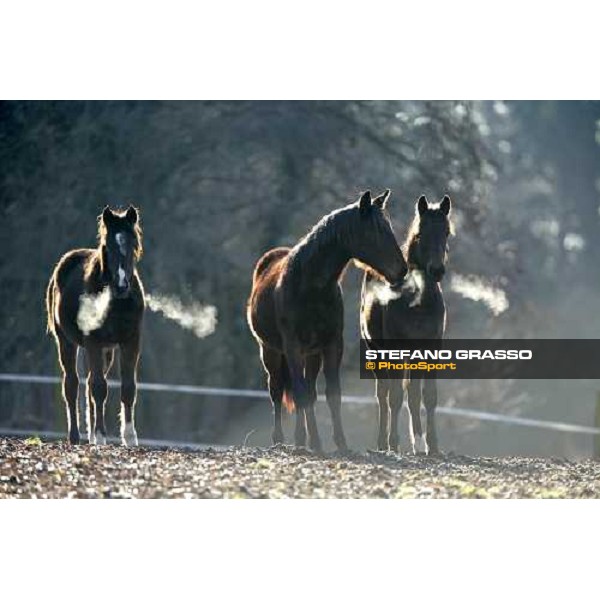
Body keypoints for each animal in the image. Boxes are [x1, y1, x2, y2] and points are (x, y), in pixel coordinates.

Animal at [45, 206, 145, 446]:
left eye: (133, 244)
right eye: (108, 246)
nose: (121, 286)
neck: (117, 303)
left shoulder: (131, 341)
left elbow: (128, 388)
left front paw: (130, 437)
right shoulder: (93, 341)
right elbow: (99, 388)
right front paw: (101, 436)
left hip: (106, 350)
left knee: (89, 382)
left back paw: (89, 436)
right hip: (67, 342)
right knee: (72, 385)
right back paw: (76, 437)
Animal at [247, 190, 408, 452]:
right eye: (374, 232)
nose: (401, 270)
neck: (309, 286)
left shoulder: (332, 344)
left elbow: (332, 394)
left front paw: (340, 442)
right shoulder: (292, 346)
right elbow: (299, 394)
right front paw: (313, 442)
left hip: (311, 354)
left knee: (308, 390)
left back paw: (305, 439)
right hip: (271, 351)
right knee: (278, 390)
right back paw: (281, 439)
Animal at [358, 197, 452, 454]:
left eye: (447, 232)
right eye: (420, 233)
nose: (436, 270)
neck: (418, 302)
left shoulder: (431, 347)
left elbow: (428, 396)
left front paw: (433, 446)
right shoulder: (395, 349)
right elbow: (395, 396)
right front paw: (394, 443)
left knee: (412, 393)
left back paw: (418, 443)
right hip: (377, 351)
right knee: (384, 393)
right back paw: (383, 443)